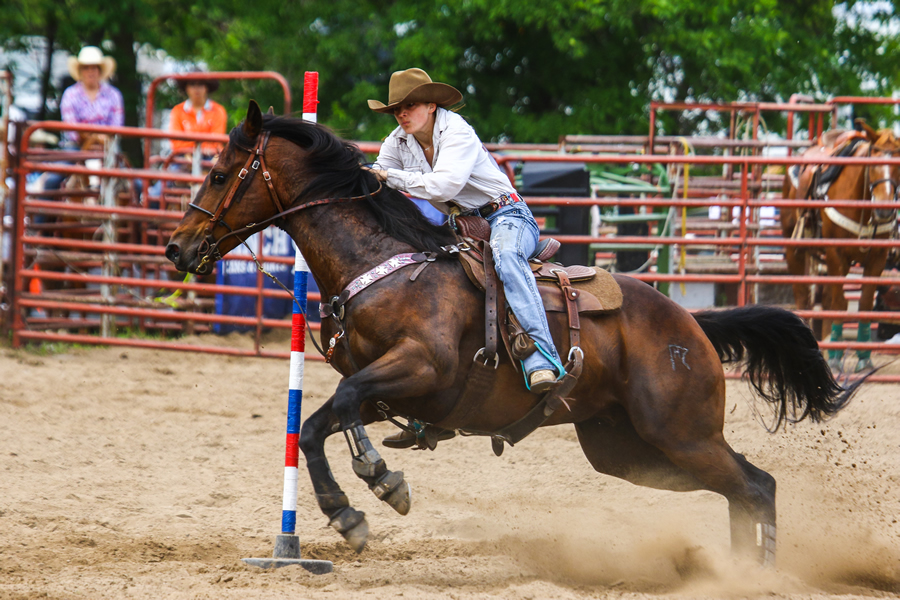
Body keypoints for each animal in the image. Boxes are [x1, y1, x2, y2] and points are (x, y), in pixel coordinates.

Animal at [165, 103, 868, 568]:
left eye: (221, 174)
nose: (177, 247)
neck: (384, 262)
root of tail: (691, 322)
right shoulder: (376, 384)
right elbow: (326, 420)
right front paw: (369, 490)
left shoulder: (419, 368)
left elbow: (330, 411)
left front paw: (363, 500)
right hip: (629, 450)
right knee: (741, 488)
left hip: (682, 432)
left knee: (757, 486)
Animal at [780, 120, 900, 372]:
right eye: (873, 163)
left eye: (898, 165)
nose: (884, 209)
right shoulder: (837, 254)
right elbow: (838, 303)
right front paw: (835, 358)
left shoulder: (877, 258)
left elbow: (863, 304)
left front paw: (864, 358)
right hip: (795, 250)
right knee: (803, 296)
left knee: (825, 298)